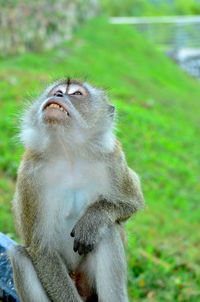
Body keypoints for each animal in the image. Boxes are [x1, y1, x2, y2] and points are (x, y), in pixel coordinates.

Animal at [8, 78, 145, 302]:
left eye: (77, 94)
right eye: (57, 90)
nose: (59, 95)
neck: (68, 153)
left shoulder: (113, 158)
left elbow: (133, 202)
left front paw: (94, 218)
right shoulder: (29, 174)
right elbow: (41, 249)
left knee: (108, 230)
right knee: (19, 256)